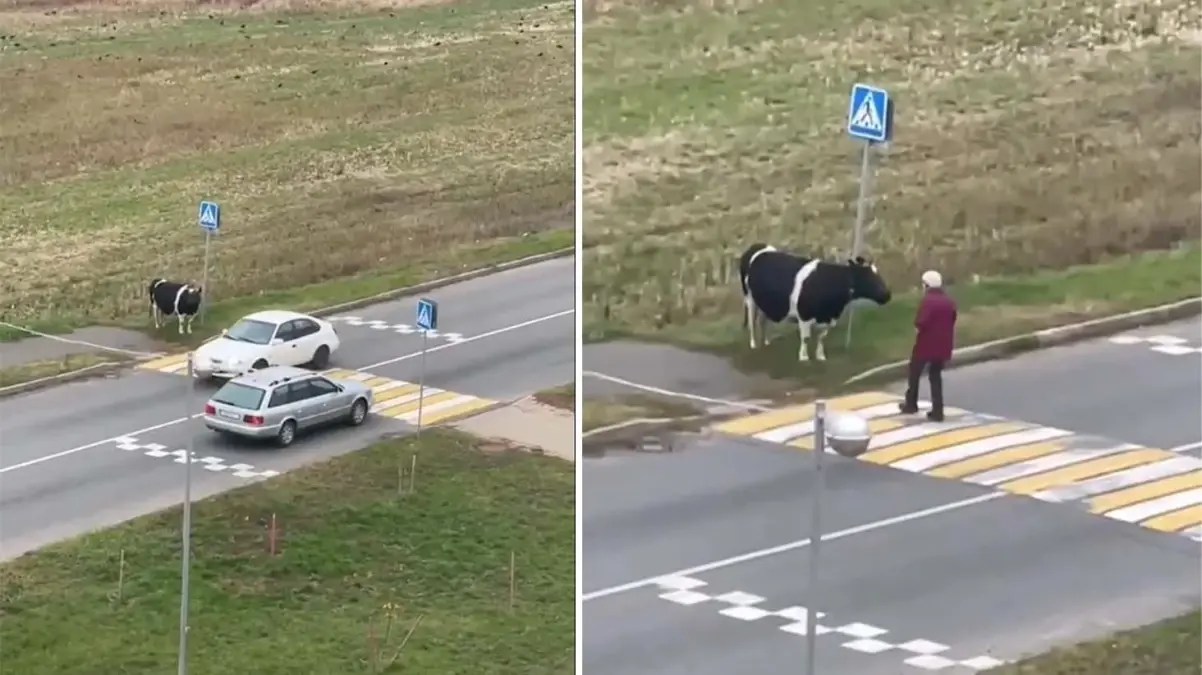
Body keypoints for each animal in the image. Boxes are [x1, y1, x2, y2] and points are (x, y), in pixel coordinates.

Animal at [735, 240, 889, 357]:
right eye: (868, 277)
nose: (887, 295)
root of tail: (756, 246)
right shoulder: (804, 316)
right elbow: (806, 338)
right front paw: (803, 357)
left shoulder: (828, 319)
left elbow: (821, 338)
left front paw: (820, 356)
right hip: (749, 297)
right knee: (751, 322)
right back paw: (753, 344)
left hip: (763, 302)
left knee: (763, 320)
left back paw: (767, 341)